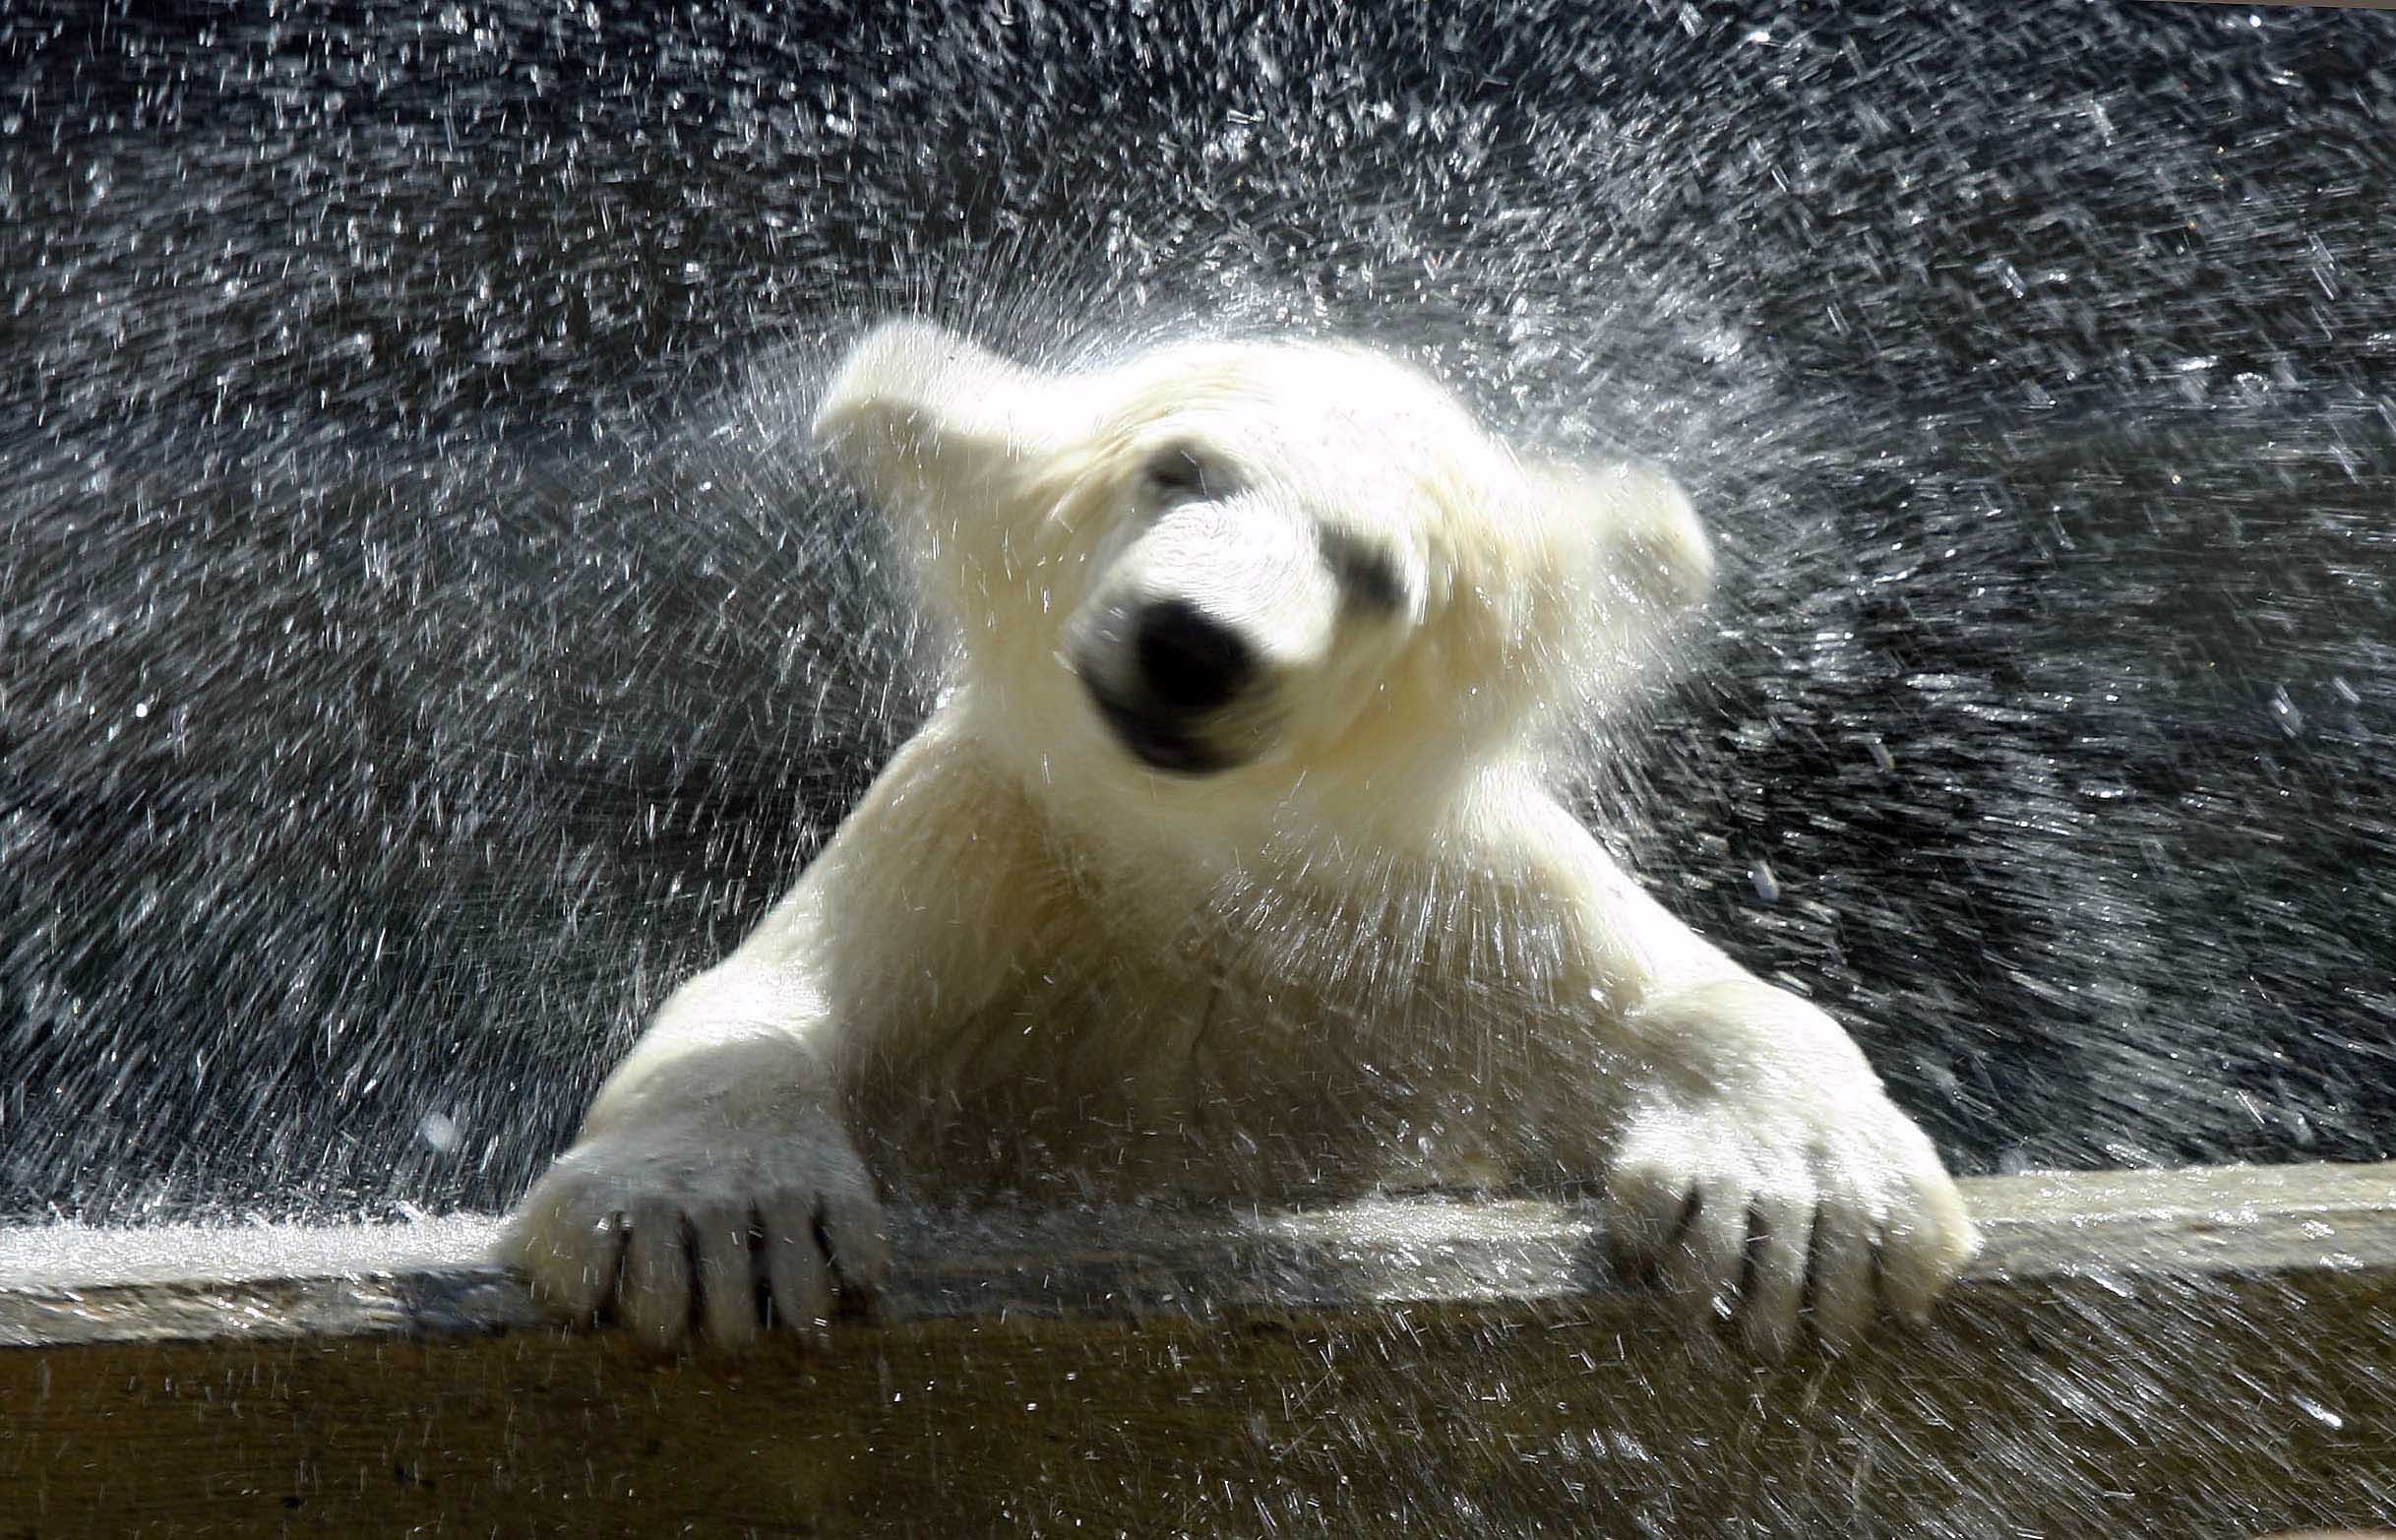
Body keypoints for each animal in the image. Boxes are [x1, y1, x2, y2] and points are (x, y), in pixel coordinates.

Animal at [499, 319, 1979, 1358]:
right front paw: (714, 1224)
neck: (1194, 883)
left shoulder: (1441, 902)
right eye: (1176, 468)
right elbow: (769, 992)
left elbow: (1677, 996)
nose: (1193, 643)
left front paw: (1802, 1208)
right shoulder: (983, 849)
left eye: (1375, 573)